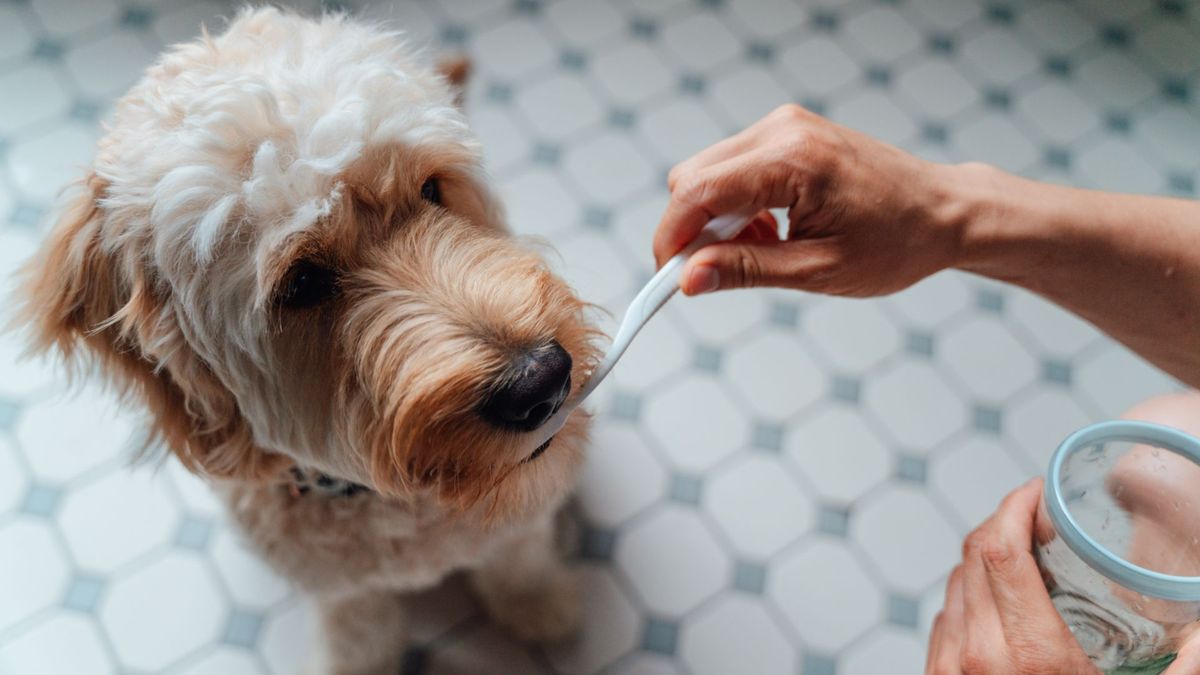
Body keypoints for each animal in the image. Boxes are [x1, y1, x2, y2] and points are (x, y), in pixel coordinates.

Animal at [19, 6, 600, 672]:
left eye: (431, 189)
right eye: (301, 282)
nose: (542, 381)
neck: (388, 500)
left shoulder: (524, 519)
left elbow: (520, 557)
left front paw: (539, 605)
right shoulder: (340, 591)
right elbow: (360, 632)